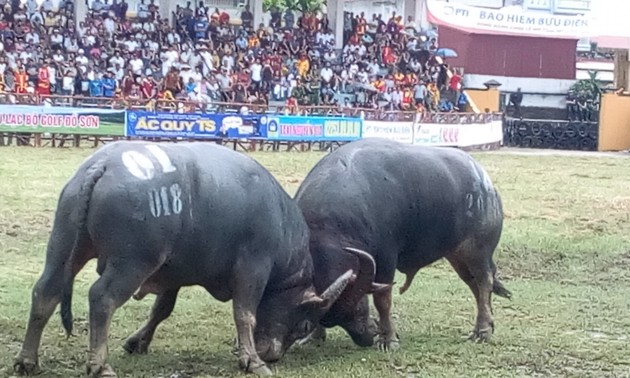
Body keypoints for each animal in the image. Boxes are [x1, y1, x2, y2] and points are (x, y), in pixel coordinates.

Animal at [12, 140, 376, 376]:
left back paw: (27, 360)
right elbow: (245, 314)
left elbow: (162, 309)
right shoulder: (253, 268)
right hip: (132, 262)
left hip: (62, 246)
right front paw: (252, 360)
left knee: (45, 292)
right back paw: (99, 365)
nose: (273, 355)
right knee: (101, 298)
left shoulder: (173, 274)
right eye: (304, 324)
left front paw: (138, 341)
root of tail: (102, 166)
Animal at [296, 138, 512, 352]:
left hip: (478, 250)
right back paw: (485, 326)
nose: (365, 338)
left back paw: (483, 331)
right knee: (474, 285)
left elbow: (383, 300)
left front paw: (389, 340)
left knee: (484, 282)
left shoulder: (386, 259)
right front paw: (313, 337)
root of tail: (488, 185)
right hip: (457, 255)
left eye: (358, 305)